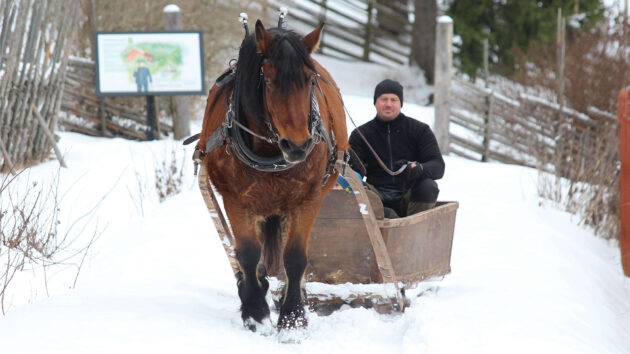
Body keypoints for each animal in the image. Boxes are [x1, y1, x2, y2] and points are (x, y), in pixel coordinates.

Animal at [198, 19, 348, 330]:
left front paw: (292, 317)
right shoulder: (236, 200)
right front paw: (255, 309)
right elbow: (247, 254)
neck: (270, 152)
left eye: (310, 80)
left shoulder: (308, 199)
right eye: (268, 81)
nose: (298, 145)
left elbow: (295, 258)